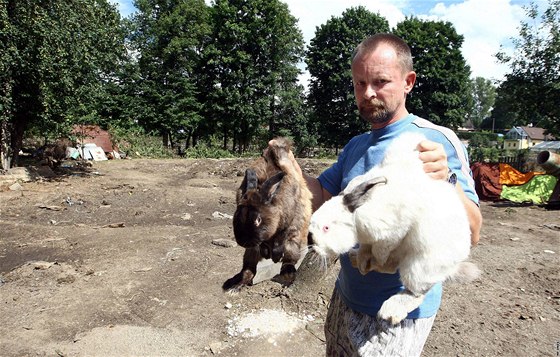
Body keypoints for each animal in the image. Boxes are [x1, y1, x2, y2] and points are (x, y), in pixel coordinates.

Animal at [222, 138, 312, 290]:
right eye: (237, 215)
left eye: (258, 220)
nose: (243, 242)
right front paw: (268, 252)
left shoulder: (287, 224)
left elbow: (280, 239)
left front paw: (275, 256)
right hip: (251, 253)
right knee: (249, 268)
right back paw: (234, 286)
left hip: (293, 241)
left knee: (290, 259)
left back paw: (288, 274)